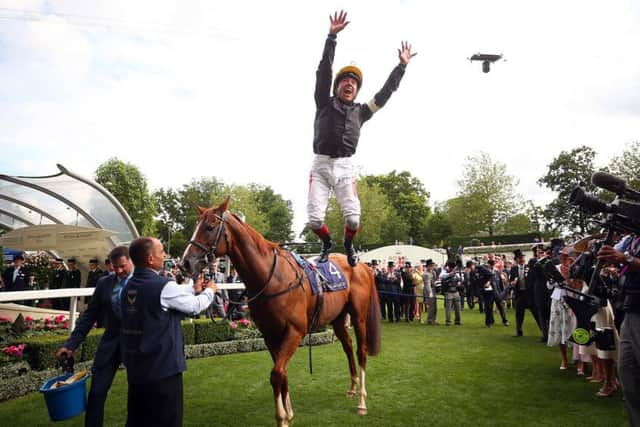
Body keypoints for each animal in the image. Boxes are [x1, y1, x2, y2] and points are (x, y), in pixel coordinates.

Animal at [180, 200, 380, 427]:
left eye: (210, 227)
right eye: (197, 226)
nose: (185, 262)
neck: (272, 277)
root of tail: (361, 265)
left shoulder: (294, 332)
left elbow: (276, 373)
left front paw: (282, 417)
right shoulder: (270, 334)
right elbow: (282, 372)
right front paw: (289, 411)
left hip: (358, 316)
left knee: (361, 351)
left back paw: (361, 401)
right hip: (338, 319)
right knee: (347, 346)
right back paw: (352, 387)